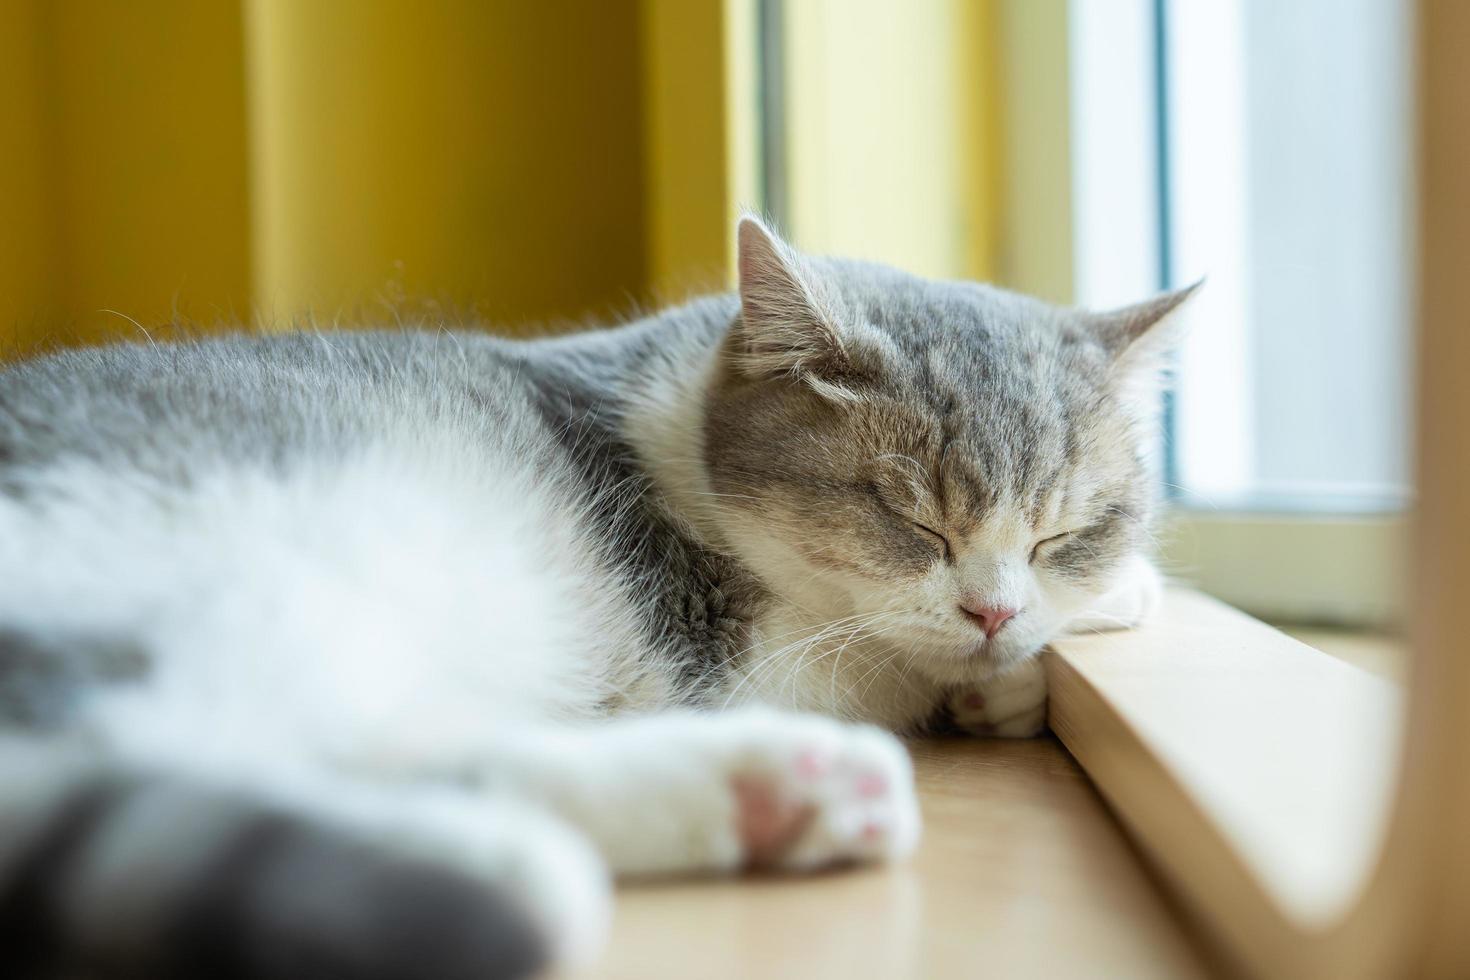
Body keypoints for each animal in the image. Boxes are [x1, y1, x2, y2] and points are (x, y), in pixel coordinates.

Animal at [0, 220, 1181, 980]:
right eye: (913, 521)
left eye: (1065, 529)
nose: (994, 613)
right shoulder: (745, 646)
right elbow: (877, 651)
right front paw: (1082, 621)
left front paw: (1018, 668)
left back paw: (769, 799)